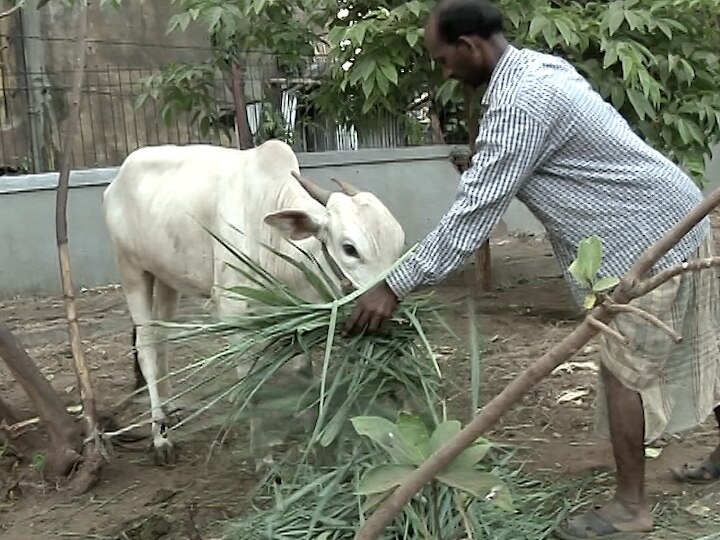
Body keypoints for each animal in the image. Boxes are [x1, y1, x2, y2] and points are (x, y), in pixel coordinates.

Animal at [101, 140, 404, 468]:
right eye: (350, 249)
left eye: (400, 244)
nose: (391, 316)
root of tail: (118, 180)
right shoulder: (233, 311)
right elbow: (252, 384)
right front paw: (263, 457)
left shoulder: (291, 314)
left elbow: (304, 372)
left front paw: (315, 443)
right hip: (132, 270)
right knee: (145, 347)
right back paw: (160, 436)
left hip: (168, 278)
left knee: (162, 342)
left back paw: (170, 410)